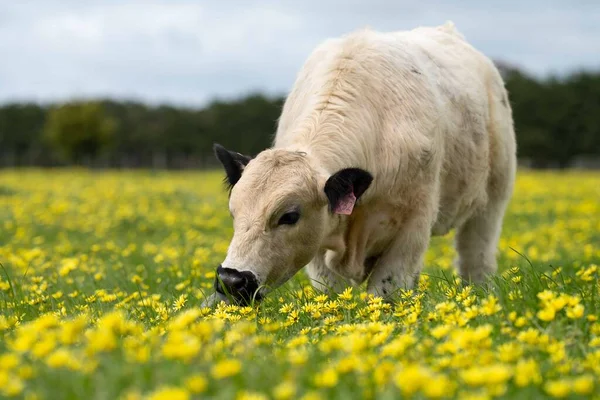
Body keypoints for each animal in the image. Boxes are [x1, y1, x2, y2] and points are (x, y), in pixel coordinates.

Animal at [202, 21, 516, 306]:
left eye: (289, 216)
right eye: (233, 212)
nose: (232, 280)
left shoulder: (412, 229)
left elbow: (386, 291)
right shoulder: (320, 248)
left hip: (491, 204)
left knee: (476, 260)